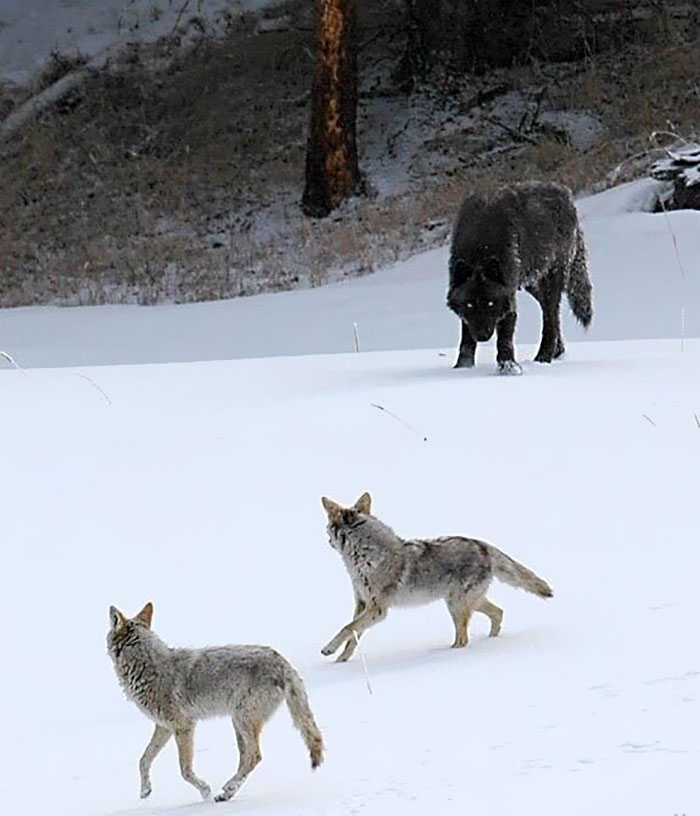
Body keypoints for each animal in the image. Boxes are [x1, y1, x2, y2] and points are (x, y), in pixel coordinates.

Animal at [448, 181, 592, 372]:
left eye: (491, 303)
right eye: (470, 305)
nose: (482, 336)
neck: (480, 248)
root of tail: (566, 194)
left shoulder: (508, 296)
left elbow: (505, 338)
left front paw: (508, 367)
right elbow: (466, 338)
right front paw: (462, 367)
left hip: (551, 280)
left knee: (550, 317)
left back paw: (544, 357)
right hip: (532, 284)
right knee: (549, 312)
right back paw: (557, 351)